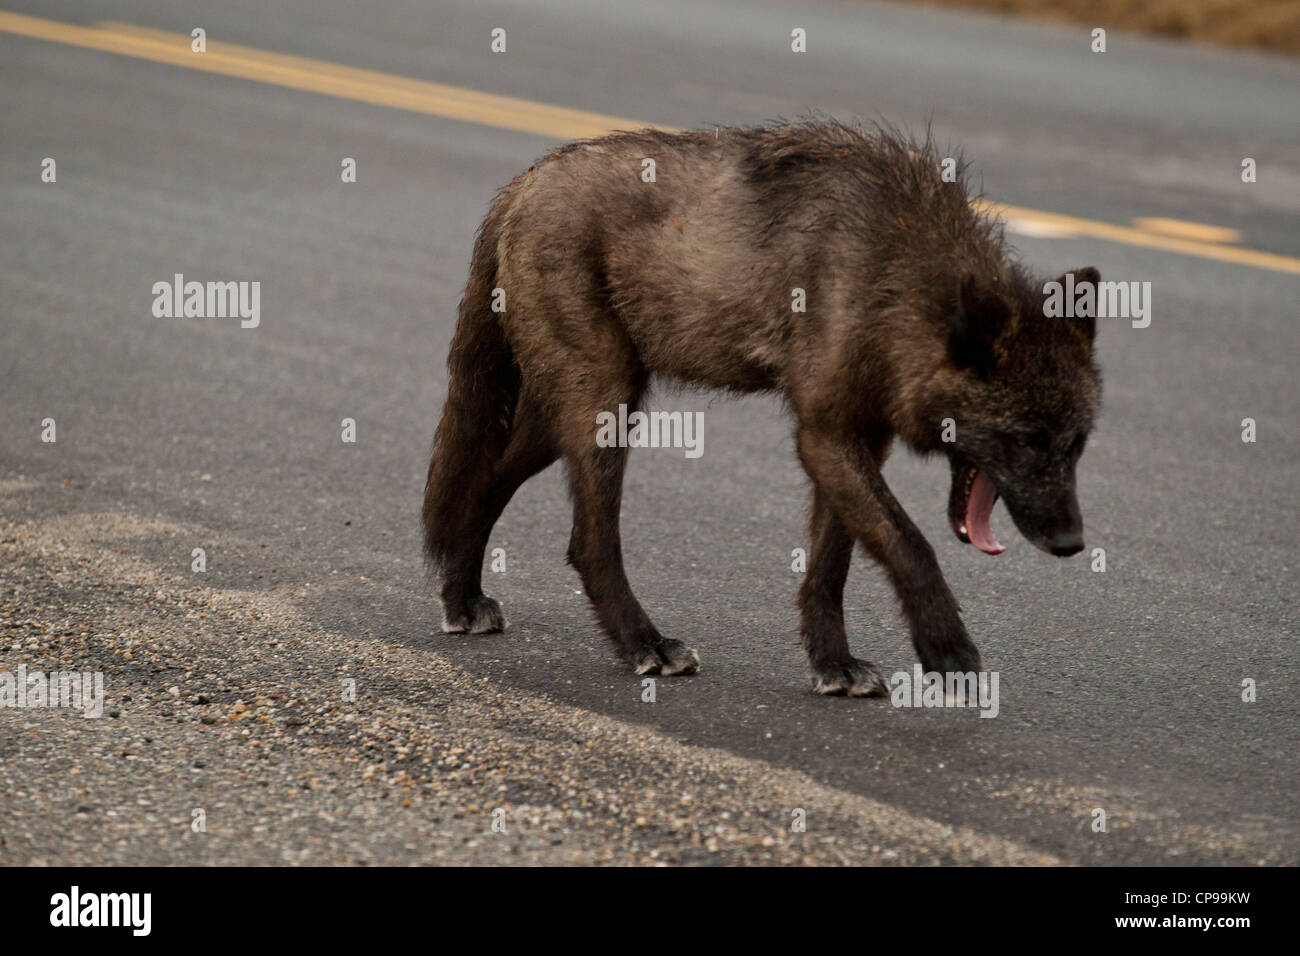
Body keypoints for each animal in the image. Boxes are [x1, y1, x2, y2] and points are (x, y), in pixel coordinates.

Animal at [423, 123, 1097, 697]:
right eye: (1024, 440)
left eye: (1076, 445)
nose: (1071, 544)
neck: (893, 269)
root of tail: (526, 180)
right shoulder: (825, 437)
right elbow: (910, 545)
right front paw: (948, 652)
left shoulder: (857, 439)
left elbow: (831, 564)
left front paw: (832, 664)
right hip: (603, 409)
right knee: (587, 542)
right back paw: (646, 644)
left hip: (572, 417)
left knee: (482, 486)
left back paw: (462, 602)